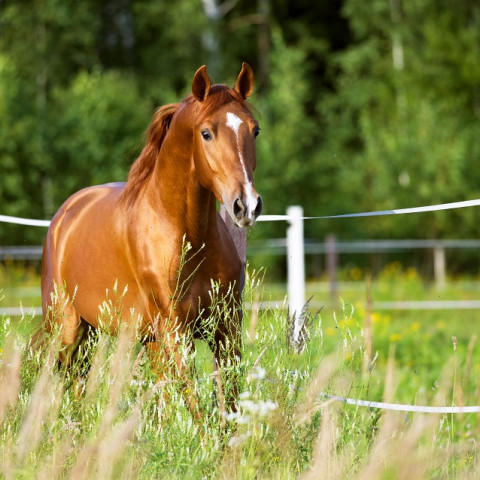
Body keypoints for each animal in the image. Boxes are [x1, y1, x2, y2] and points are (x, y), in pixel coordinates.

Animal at [39, 62, 262, 416]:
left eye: (254, 130)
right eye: (206, 133)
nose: (247, 205)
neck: (187, 237)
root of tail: (65, 215)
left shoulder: (226, 329)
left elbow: (228, 404)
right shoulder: (175, 332)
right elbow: (196, 407)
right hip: (68, 330)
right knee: (69, 385)